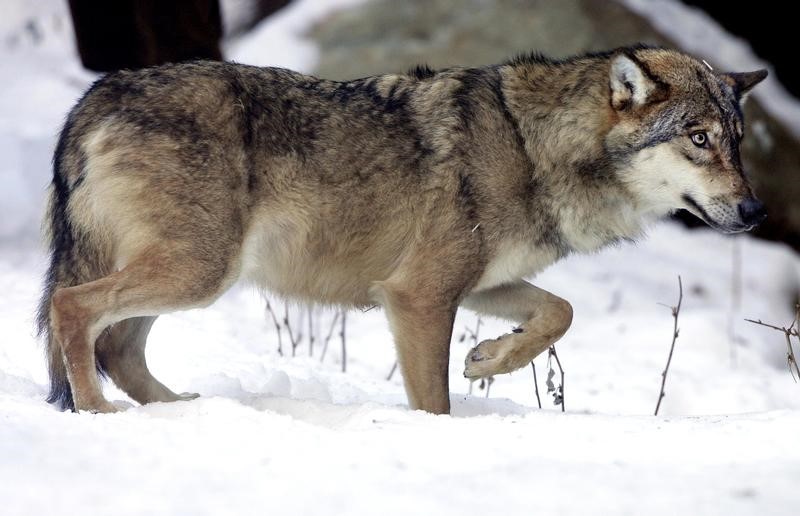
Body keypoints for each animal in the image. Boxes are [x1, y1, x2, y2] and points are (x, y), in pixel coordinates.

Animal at [36, 45, 768, 416]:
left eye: (736, 141)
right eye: (698, 139)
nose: (756, 212)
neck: (532, 145)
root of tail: (94, 96)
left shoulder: (479, 283)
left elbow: (559, 312)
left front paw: (488, 359)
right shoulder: (418, 295)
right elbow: (435, 400)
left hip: (190, 278)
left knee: (118, 347)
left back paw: (178, 410)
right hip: (198, 274)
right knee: (73, 310)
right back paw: (98, 411)